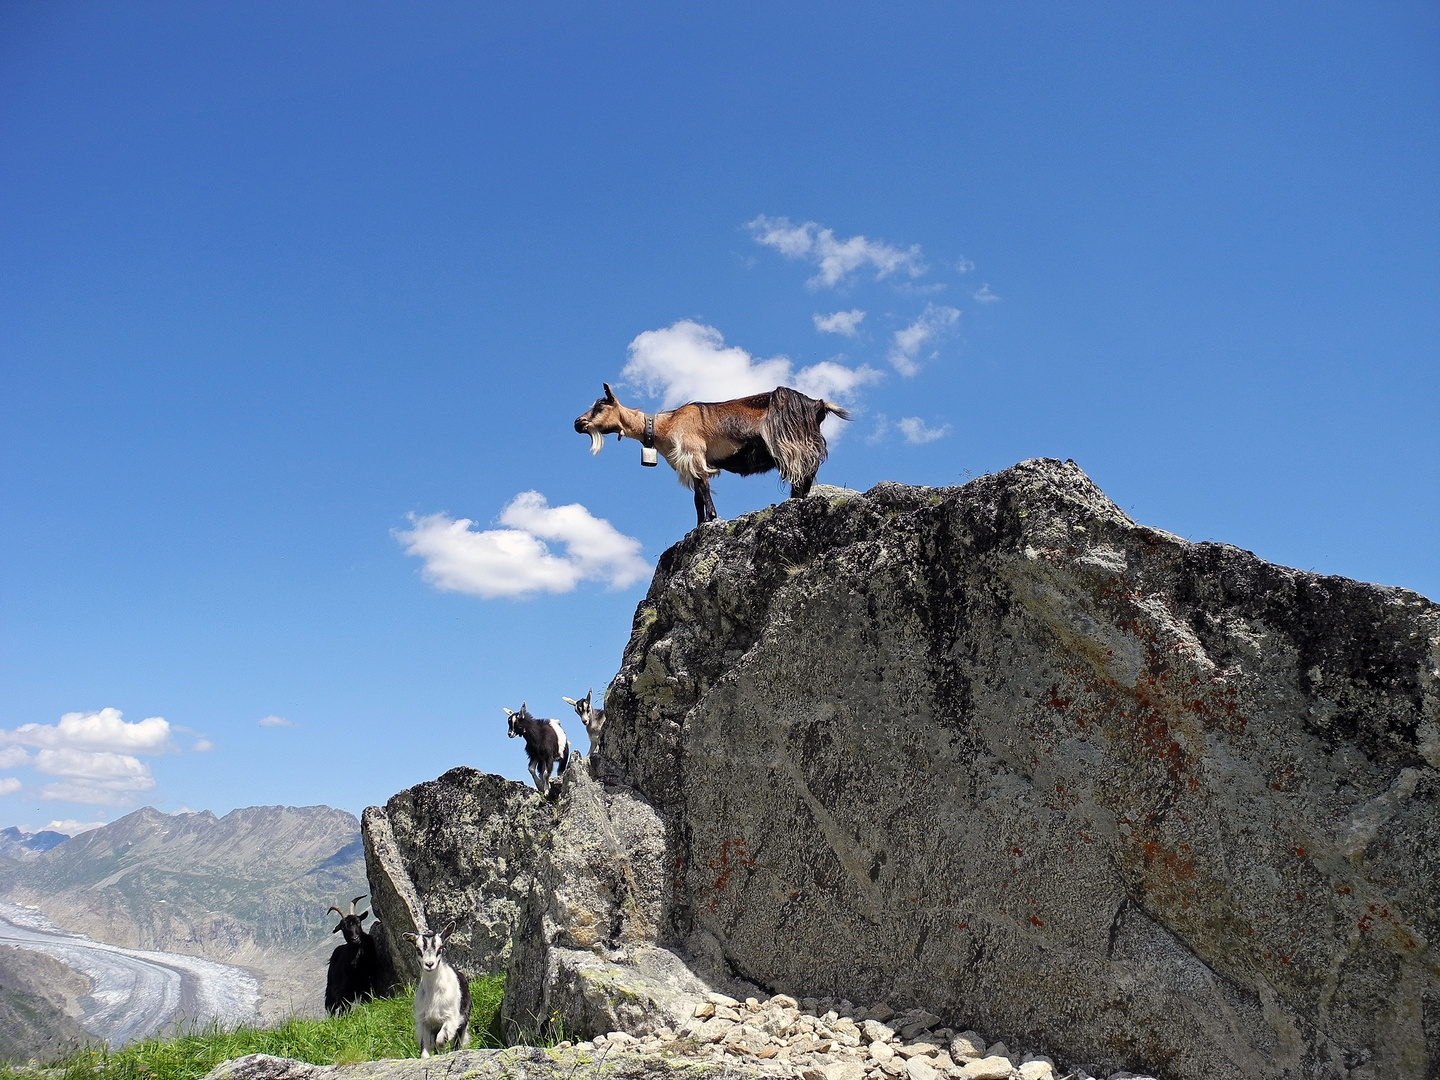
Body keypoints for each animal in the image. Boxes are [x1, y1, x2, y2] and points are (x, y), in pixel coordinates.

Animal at [570, 385, 840, 527]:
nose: (577, 423)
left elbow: (704, 489)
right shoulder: (689, 464)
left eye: (600, 406)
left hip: (793, 443)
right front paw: (699, 524)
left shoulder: (694, 455)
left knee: (804, 471)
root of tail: (817, 404)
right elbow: (697, 497)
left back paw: (795, 500)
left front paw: (710, 519)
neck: (665, 425)